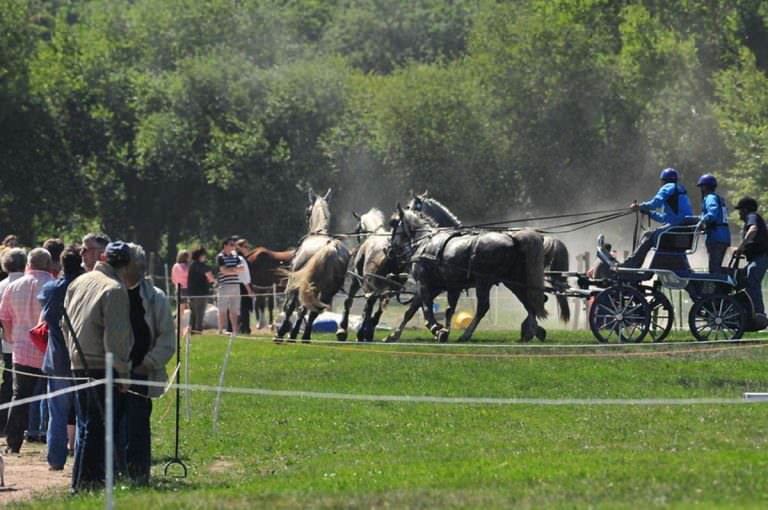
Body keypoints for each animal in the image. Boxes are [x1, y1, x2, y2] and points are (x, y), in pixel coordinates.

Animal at [272, 189, 352, 340]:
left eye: (307, 212)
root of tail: (331, 247)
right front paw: (294, 332)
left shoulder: (295, 280)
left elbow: (291, 307)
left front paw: (285, 330)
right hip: (329, 289)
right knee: (314, 310)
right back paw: (305, 337)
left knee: (294, 306)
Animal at [390, 207, 544, 342]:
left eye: (393, 224)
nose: (390, 249)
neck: (425, 241)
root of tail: (513, 239)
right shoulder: (450, 287)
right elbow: (421, 310)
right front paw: (394, 335)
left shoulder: (425, 284)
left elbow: (427, 309)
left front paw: (437, 330)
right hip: (513, 281)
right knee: (528, 303)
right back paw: (530, 332)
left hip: (484, 282)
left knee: (483, 308)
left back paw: (466, 335)